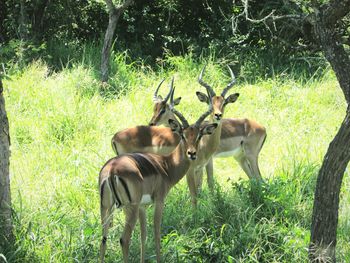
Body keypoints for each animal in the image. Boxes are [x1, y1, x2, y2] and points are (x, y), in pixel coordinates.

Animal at [100, 87, 217, 262]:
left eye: (199, 135)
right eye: (183, 135)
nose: (192, 153)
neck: (166, 165)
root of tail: (111, 171)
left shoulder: (143, 207)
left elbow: (143, 235)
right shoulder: (159, 201)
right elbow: (156, 232)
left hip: (106, 207)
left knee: (103, 240)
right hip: (130, 208)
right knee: (124, 239)